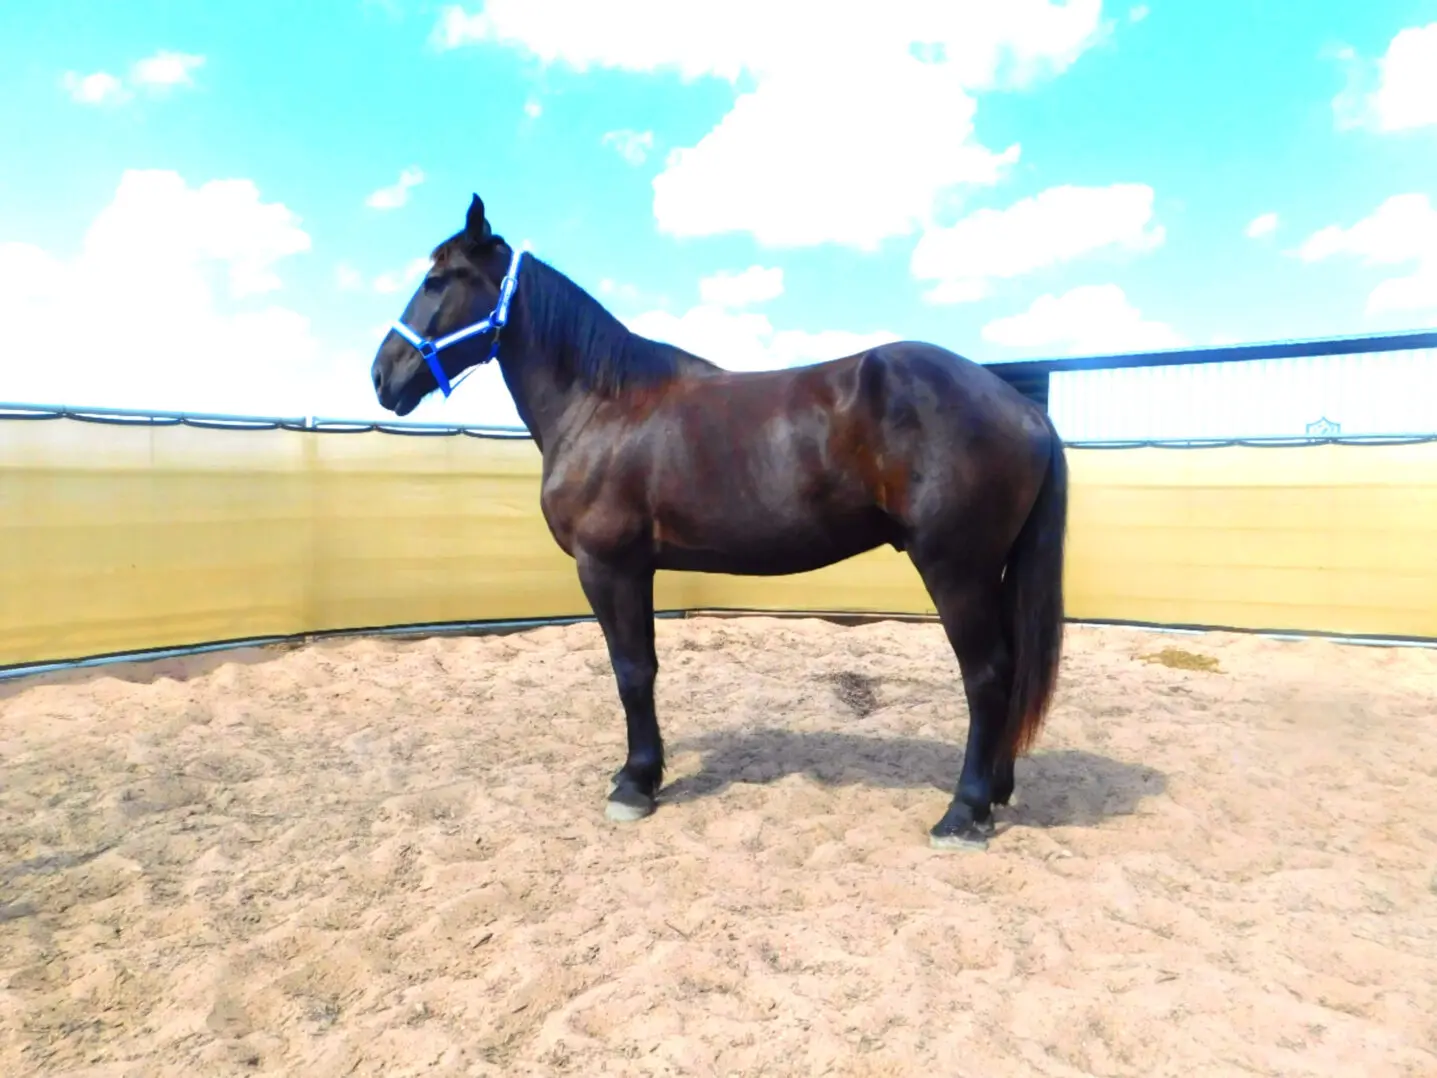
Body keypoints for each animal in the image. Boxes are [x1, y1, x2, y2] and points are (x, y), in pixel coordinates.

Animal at [369, 193, 1068, 851]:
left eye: (438, 280)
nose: (382, 375)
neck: (603, 406)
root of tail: (1024, 409)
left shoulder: (607, 566)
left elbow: (630, 671)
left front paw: (634, 785)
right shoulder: (638, 569)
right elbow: (645, 666)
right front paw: (642, 773)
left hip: (956, 570)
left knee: (987, 676)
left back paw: (963, 812)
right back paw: (995, 793)